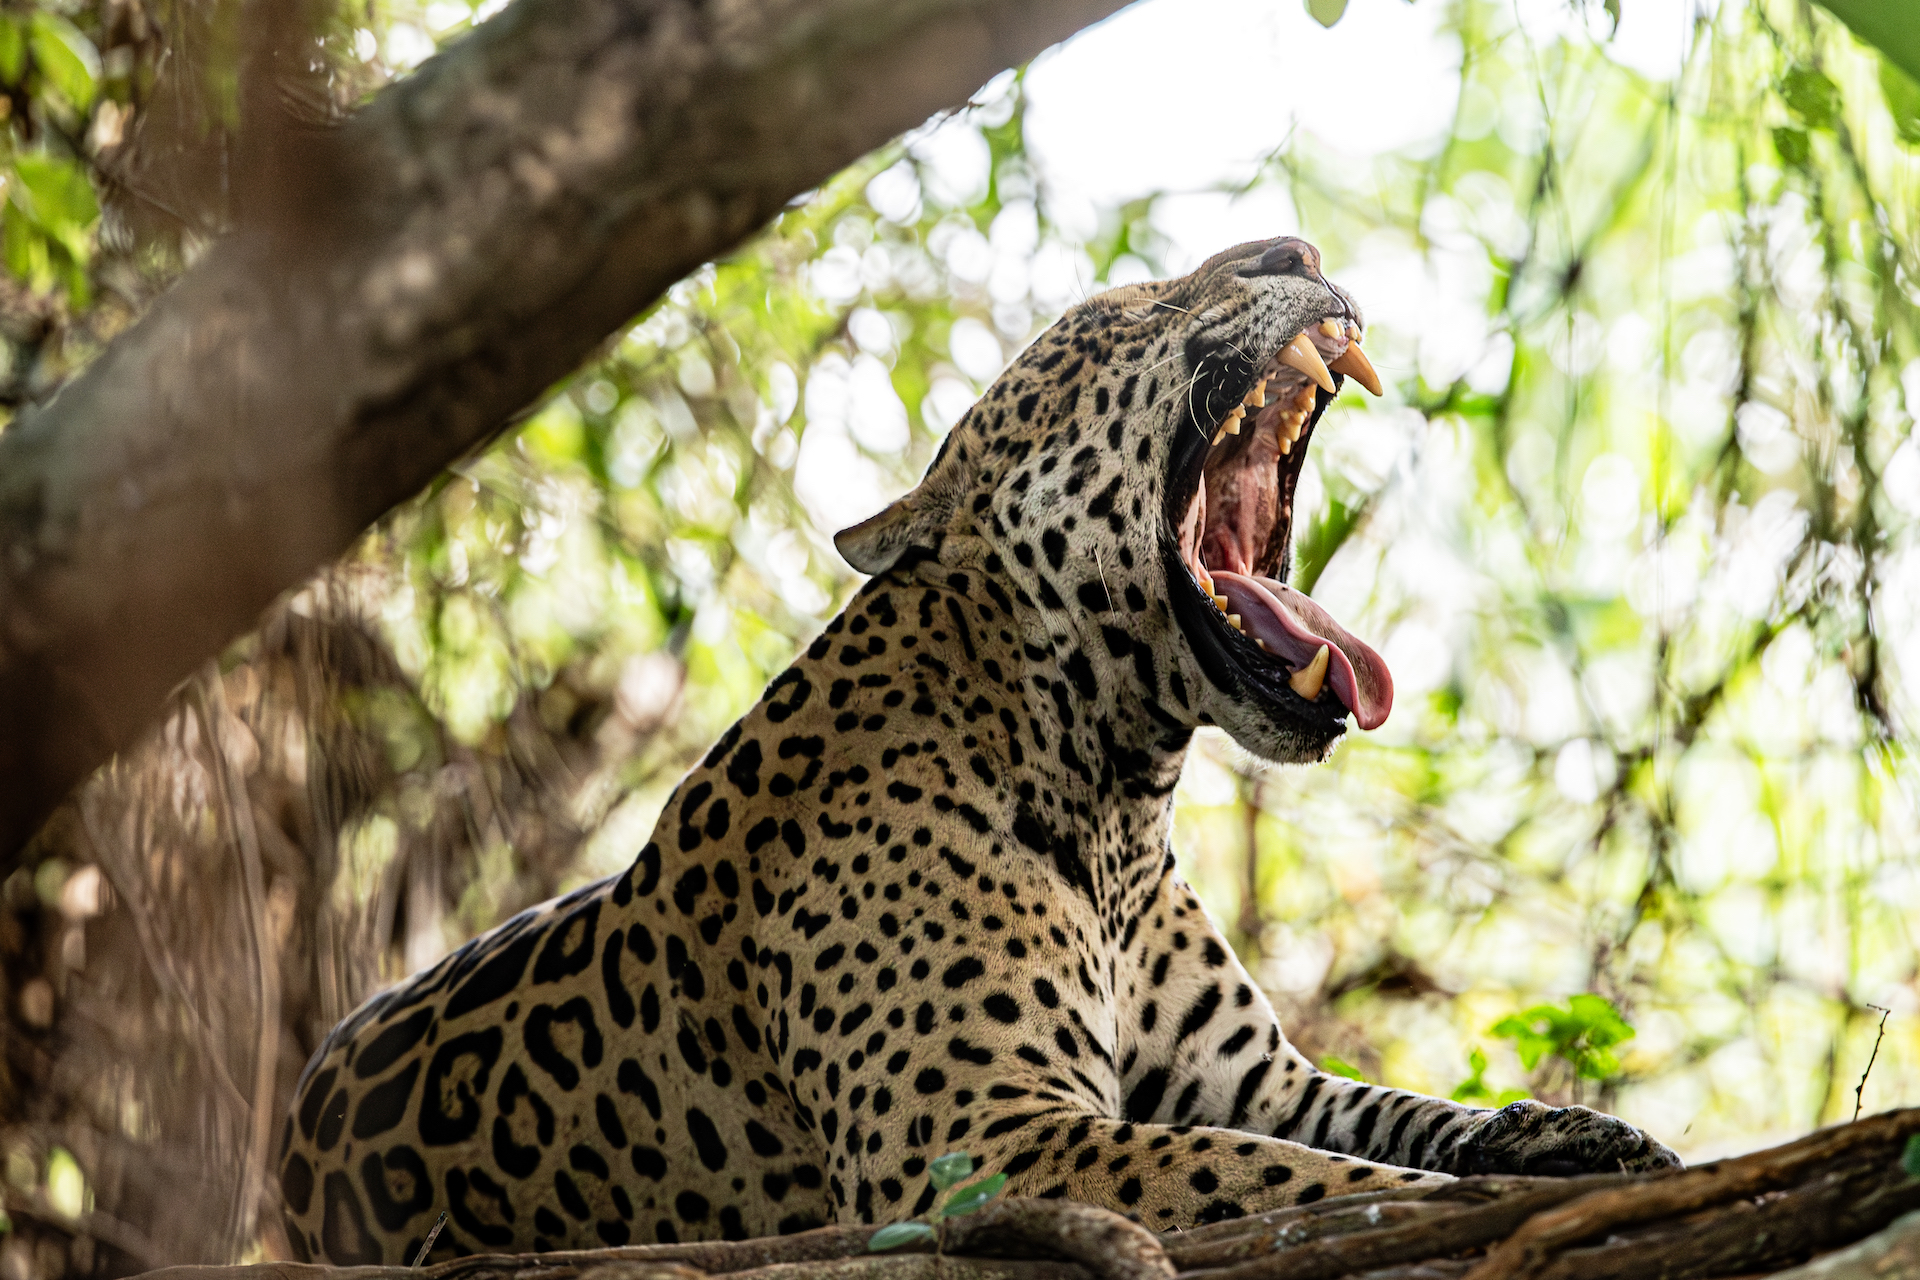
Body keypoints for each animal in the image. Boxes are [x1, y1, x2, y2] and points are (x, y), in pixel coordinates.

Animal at [277, 235, 1680, 1265]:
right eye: (1120, 314)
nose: (1296, 247)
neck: (1121, 796)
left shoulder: (1257, 1078)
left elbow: (1404, 1114)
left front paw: (1583, 1137)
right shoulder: (983, 1140)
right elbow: (1299, 1178)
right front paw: (1456, 1202)